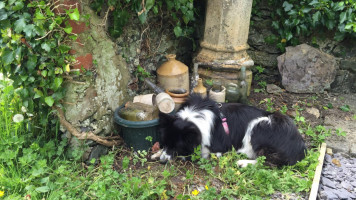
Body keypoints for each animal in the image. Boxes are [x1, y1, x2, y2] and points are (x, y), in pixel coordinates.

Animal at [159, 94, 306, 166]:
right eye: (165, 143)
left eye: (176, 147)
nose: (162, 161)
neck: (194, 116)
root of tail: (301, 149)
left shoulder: (216, 148)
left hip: (260, 124)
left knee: (266, 162)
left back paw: (243, 162)